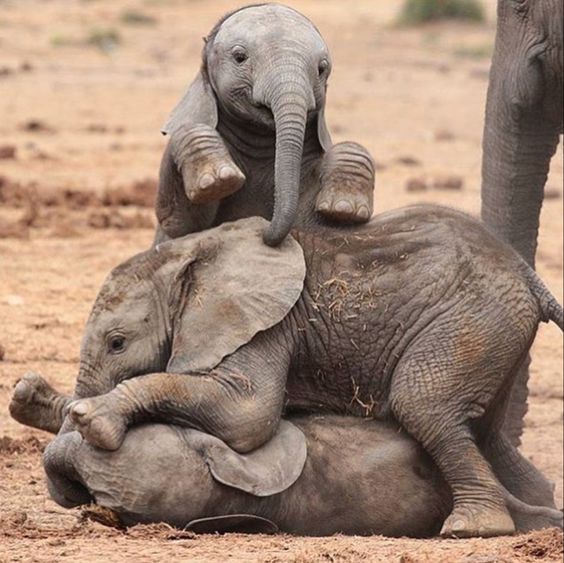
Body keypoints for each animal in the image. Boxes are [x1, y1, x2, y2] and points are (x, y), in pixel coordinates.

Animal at [11, 206, 560, 536]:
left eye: (118, 343)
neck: (190, 255)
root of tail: (527, 274)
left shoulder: (269, 323)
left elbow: (245, 417)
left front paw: (93, 419)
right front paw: (27, 396)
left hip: (471, 318)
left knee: (422, 404)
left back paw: (472, 528)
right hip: (492, 329)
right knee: (482, 431)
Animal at [155, 3, 374, 247]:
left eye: (322, 68)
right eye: (239, 57)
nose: (264, 230)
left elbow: (318, 223)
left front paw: (344, 208)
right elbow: (181, 226)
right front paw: (220, 181)